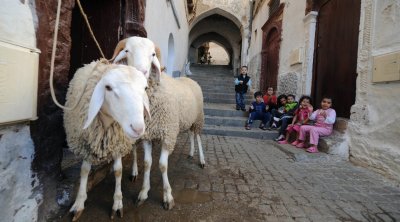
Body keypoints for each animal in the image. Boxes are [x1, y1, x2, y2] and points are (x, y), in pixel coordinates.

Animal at [64, 61, 150, 220]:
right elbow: (84, 171)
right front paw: (79, 203)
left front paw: (117, 203)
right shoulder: (86, 144)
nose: (138, 128)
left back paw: (134, 171)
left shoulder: (118, 144)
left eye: (145, 88)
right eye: (108, 87)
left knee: (135, 149)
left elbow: (118, 171)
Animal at [111, 36, 205, 210]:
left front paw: (168, 197)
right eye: (127, 50)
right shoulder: (148, 136)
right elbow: (148, 163)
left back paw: (202, 160)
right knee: (190, 135)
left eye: (153, 54)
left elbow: (162, 165)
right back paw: (190, 153)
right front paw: (143, 193)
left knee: (198, 137)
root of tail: (188, 78)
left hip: (198, 119)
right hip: (187, 120)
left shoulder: (168, 134)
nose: (141, 72)